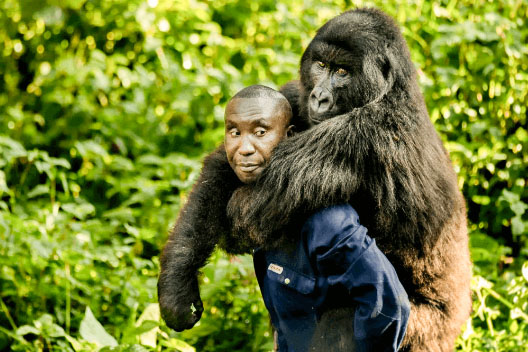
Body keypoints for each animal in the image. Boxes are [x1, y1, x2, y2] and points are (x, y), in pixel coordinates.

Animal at [159, 8, 472, 352]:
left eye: (343, 72)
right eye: (321, 65)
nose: (319, 98)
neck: (391, 88)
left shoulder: (362, 135)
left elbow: (243, 212)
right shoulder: (295, 92)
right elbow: (220, 169)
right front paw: (178, 286)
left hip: (423, 335)